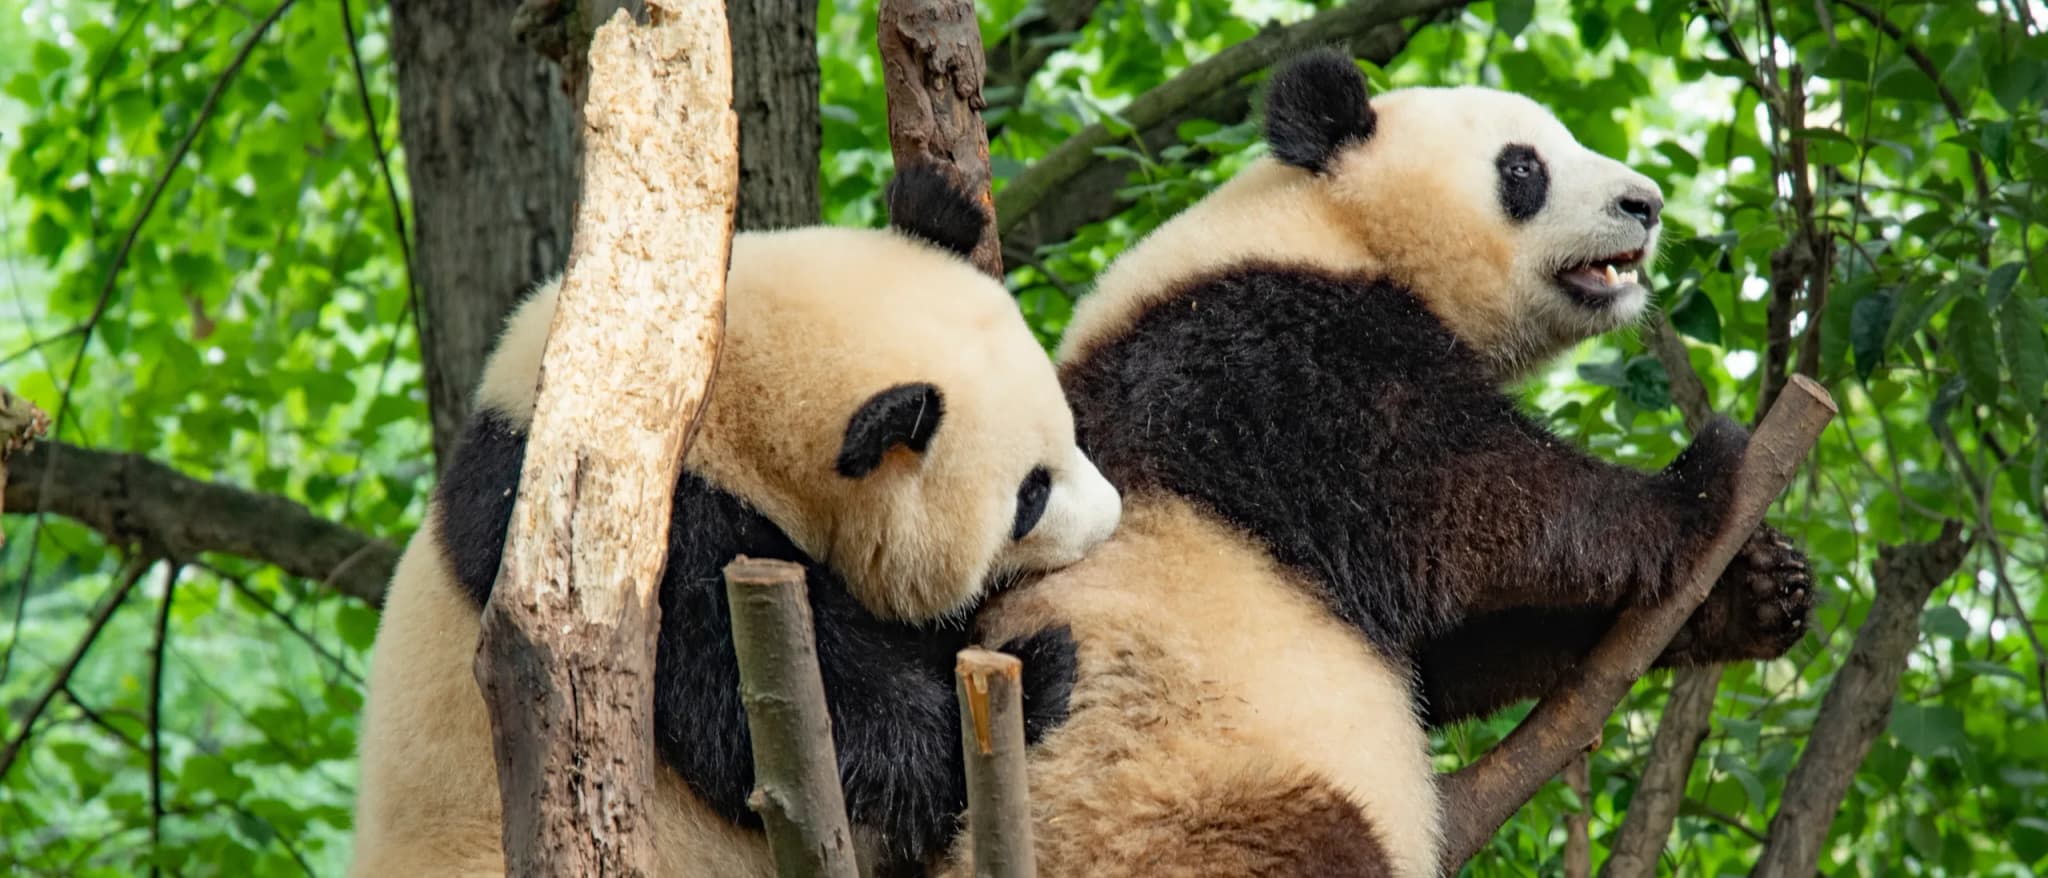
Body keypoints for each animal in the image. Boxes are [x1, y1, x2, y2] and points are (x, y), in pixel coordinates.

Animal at [349, 167, 1122, 878]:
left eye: (1069, 430)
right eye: (1031, 494)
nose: (1111, 518)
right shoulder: (645, 544)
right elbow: (805, 725)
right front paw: (1037, 670)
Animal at [946, 51, 1815, 877]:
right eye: (1523, 167)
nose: (1646, 203)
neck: (1327, 223)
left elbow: (1452, 649)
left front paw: (1760, 591)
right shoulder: (1258, 361)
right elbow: (1456, 503)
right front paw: (1702, 476)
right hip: (1169, 803)